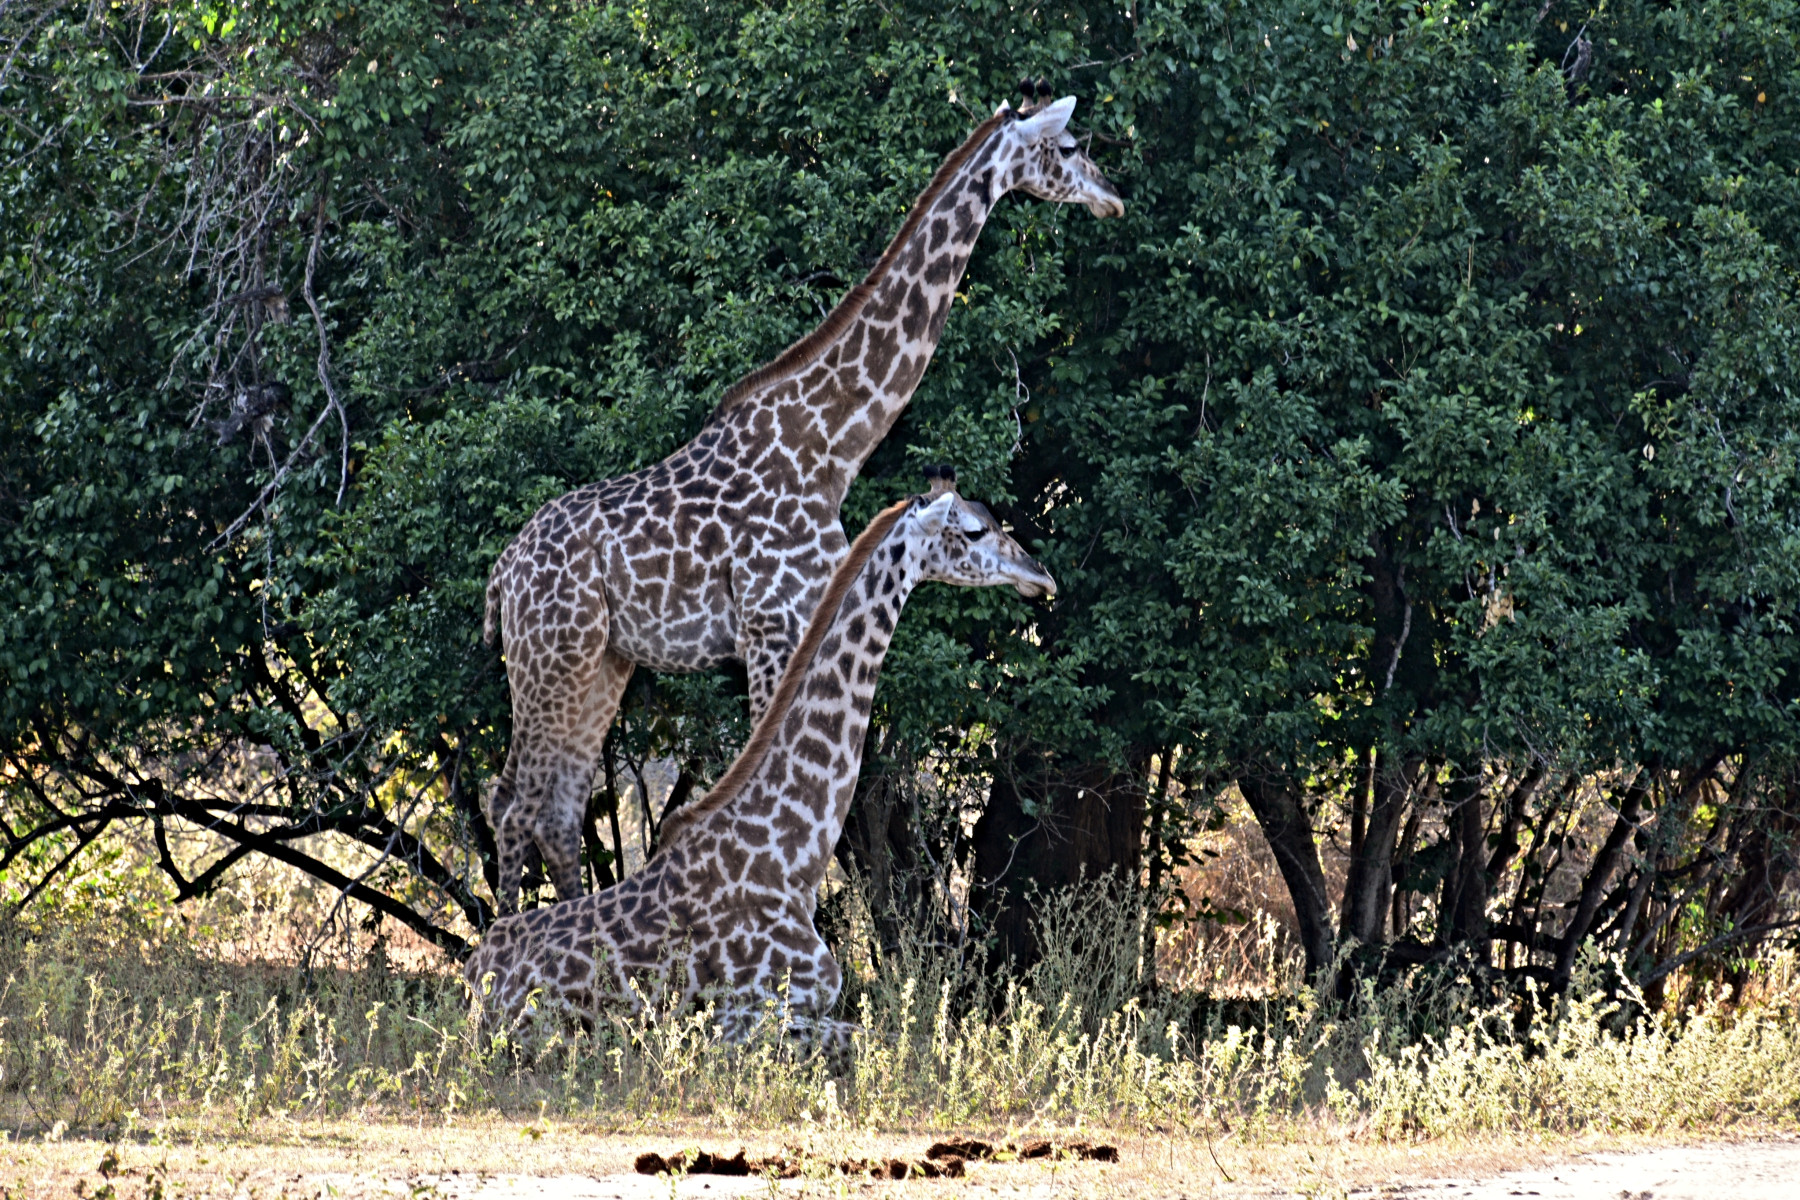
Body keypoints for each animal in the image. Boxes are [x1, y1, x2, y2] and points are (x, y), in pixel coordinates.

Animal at [464, 474, 1051, 1036]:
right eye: (973, 530)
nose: (1040, 574)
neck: (792, 853)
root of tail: (473, 977)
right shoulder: (741, 1018)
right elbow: (875, 1040)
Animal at [486, 96, 1116, 921]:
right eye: (1069, 147)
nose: (1113, 196)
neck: (832, 444)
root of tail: (501, 575)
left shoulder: (796, 615)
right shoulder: (771, 622)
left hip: (602, 663)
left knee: (556, 808)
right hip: (551, 659)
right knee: (512, 803)